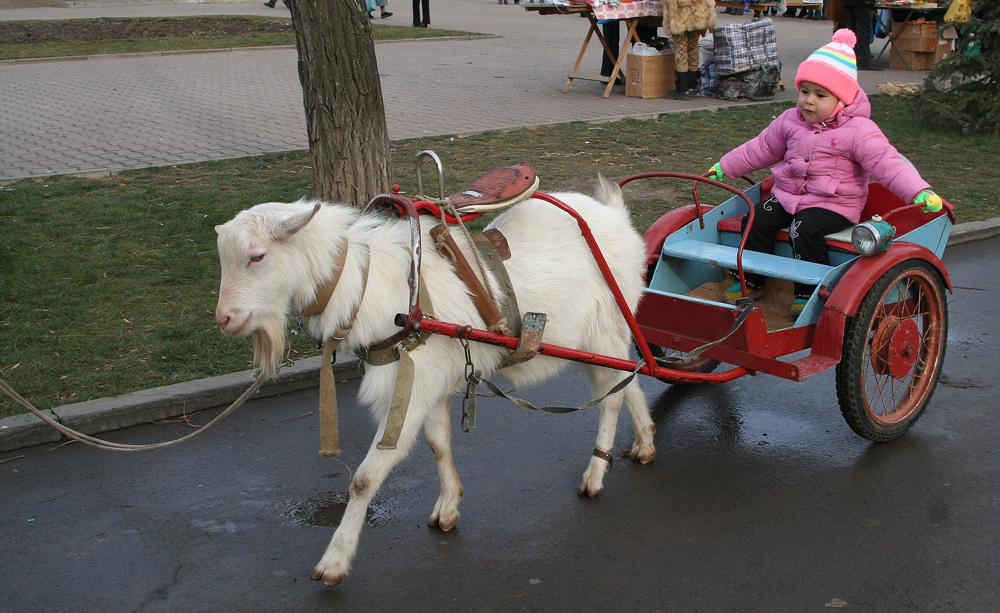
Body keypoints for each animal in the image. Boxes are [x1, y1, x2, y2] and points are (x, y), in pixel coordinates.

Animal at [213, 177, 656, 584]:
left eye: (257, 256)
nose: (225, 319)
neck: (370, 284)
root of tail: (619, 218)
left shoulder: (409, 387)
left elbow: (365, 478)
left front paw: (334, 563)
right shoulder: (430, 383)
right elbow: (438, 444)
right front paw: (448, 508)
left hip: (603, 333)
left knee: (612, 397)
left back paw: (595, 476)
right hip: (607, 340)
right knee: (631, 380)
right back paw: (645, 443)